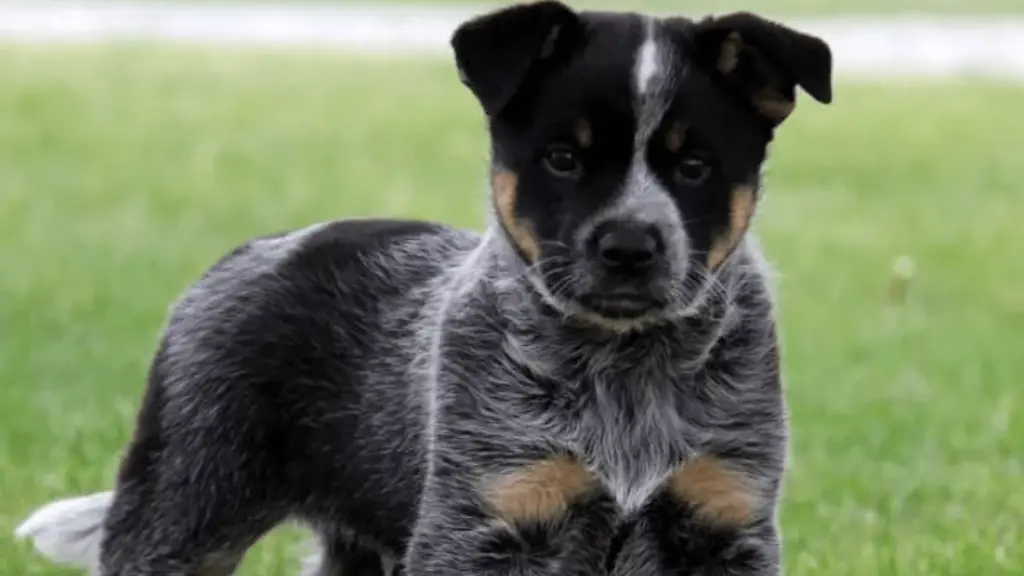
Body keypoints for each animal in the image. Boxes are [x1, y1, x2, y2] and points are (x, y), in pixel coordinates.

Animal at [16, 2, 831, 569]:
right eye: (562, 158)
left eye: (694, 166)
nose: (629, 246)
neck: (624, 371)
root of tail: (254, 250)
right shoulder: (479, 524)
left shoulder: (726, 521)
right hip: (182, 505)